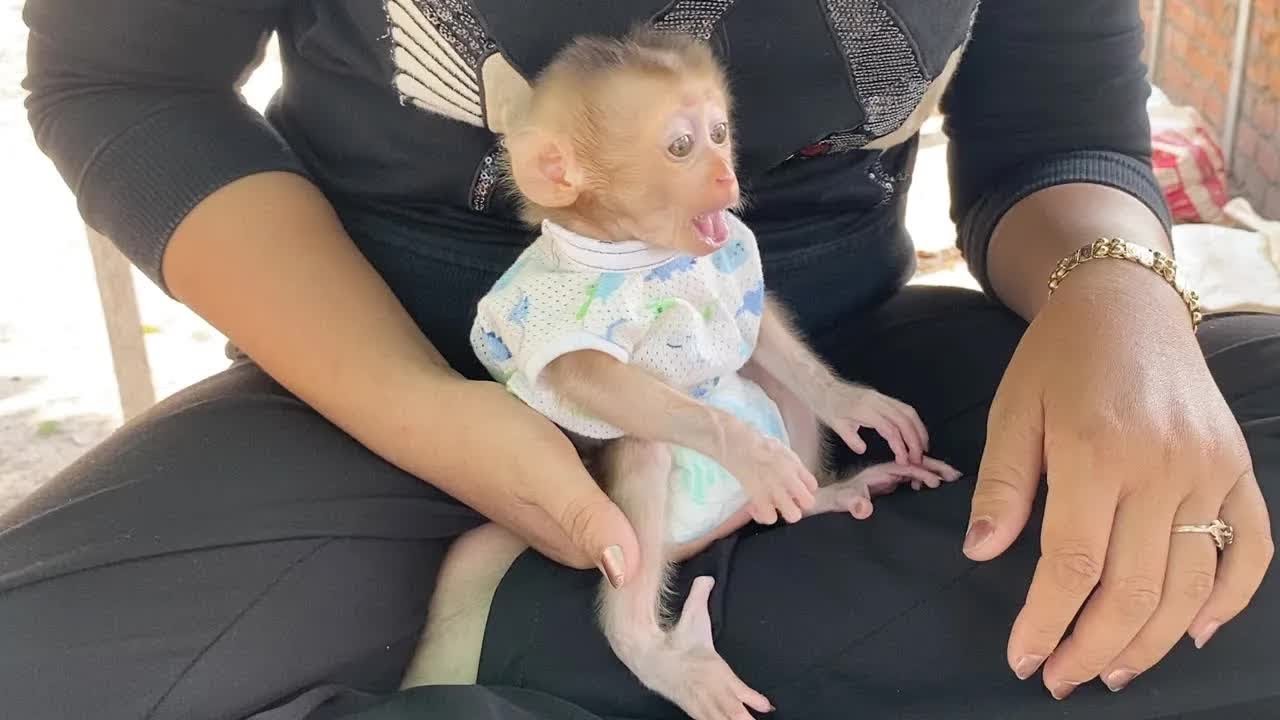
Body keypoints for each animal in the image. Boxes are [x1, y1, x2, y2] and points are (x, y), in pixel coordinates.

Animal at [402, 29, 961, 720]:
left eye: (719, 133)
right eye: (680, 147)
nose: (726, 173)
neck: (642, 252)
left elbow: (758, 330)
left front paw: (850, 404)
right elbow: (592, 378)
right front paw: (747, 449)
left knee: (773, 387)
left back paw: (824, 493)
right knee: (646, 451)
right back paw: (652, 648)